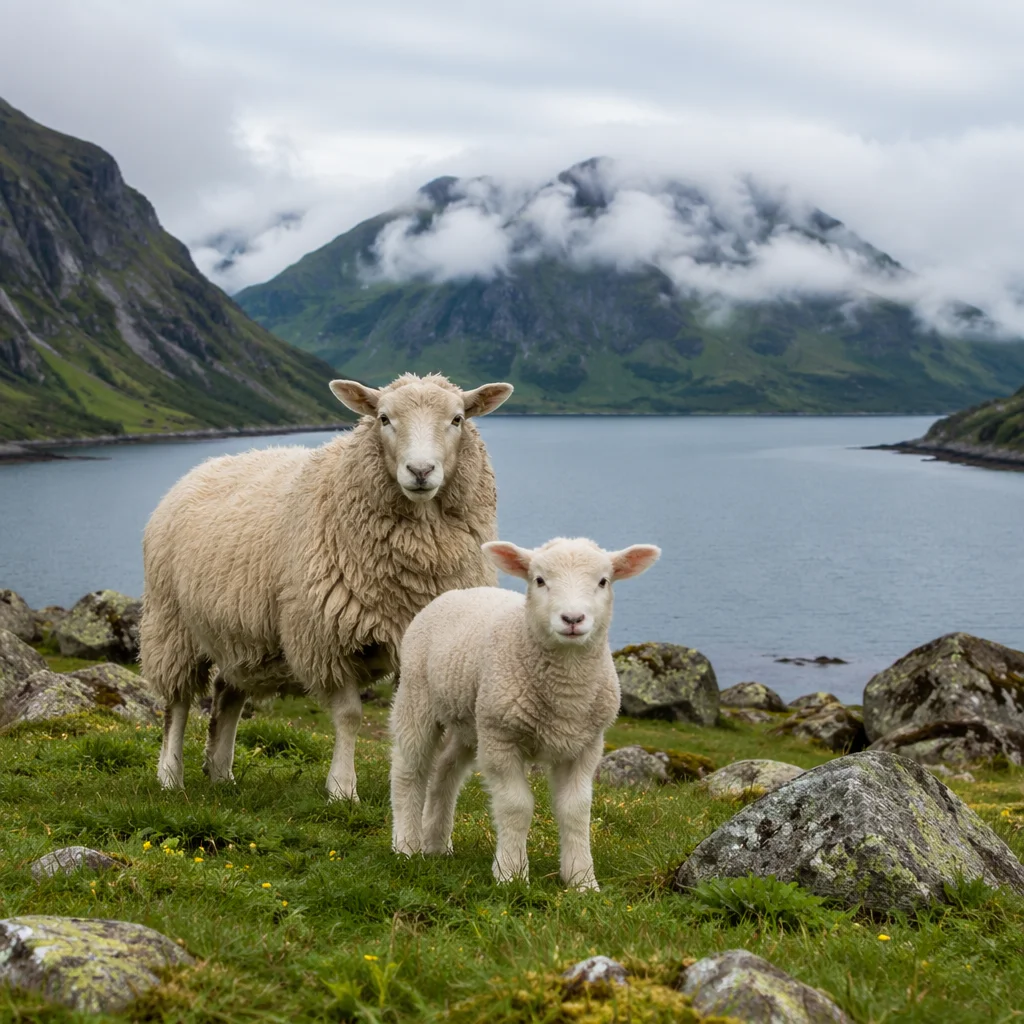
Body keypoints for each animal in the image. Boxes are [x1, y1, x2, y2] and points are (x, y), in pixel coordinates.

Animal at [141, 372, 513, 801]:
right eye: (384, 418)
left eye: (457, 419)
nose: (420, 471)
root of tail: (201, 468)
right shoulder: (327, 638)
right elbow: (350, 716)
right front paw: (342, 789)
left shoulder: (419, 641)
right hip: (170, 623)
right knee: (177, 703)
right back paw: (170, 775)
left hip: (241, 635)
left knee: (226, 692)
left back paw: (220, 772)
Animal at [389, 536, 660, 890]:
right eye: (540, 580)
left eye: (603, 581)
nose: (573, 619)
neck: (567, 692)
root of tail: (457, 592)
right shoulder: (501, 739)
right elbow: (516, 806)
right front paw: (511, 874)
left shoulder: (586, 746)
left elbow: (576, 810)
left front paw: (582, 881)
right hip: (417, 695)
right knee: (409, 770)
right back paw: (406, 846)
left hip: (472, 719)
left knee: (446, 770)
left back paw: (436, 843)